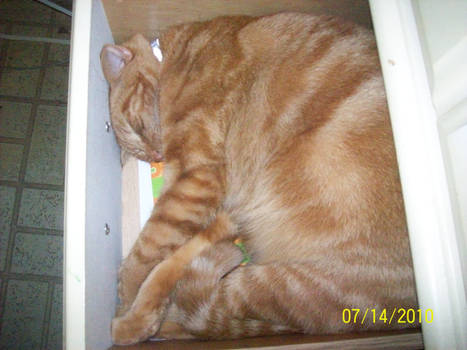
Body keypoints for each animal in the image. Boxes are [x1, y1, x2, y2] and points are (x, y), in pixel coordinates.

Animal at [100, 13, 418, 344]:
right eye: (144, 155)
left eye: (136, 127)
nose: (156, 154)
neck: (175, 56)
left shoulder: (196, 177)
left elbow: (147, 247)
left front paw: (127, 290)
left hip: (287, 283)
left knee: (196, 309)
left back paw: (130, 323)